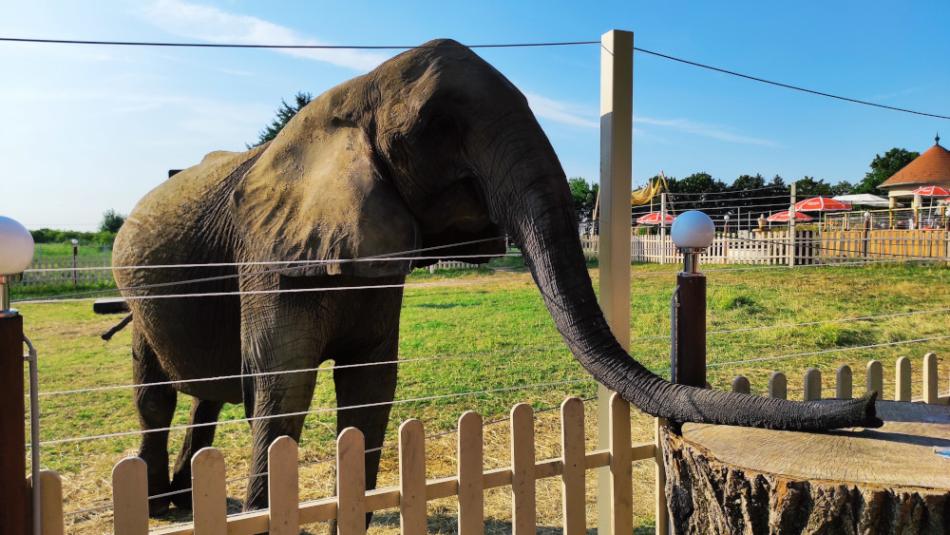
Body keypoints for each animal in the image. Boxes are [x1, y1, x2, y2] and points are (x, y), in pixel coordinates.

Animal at [113, 38, 884, 520]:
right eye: (439, 126)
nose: (874, 410)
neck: (347, 93)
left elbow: (371, 392)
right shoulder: (270, 257)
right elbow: (280, 392)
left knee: (202, 397)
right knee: (158, 393)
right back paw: (168, 504)